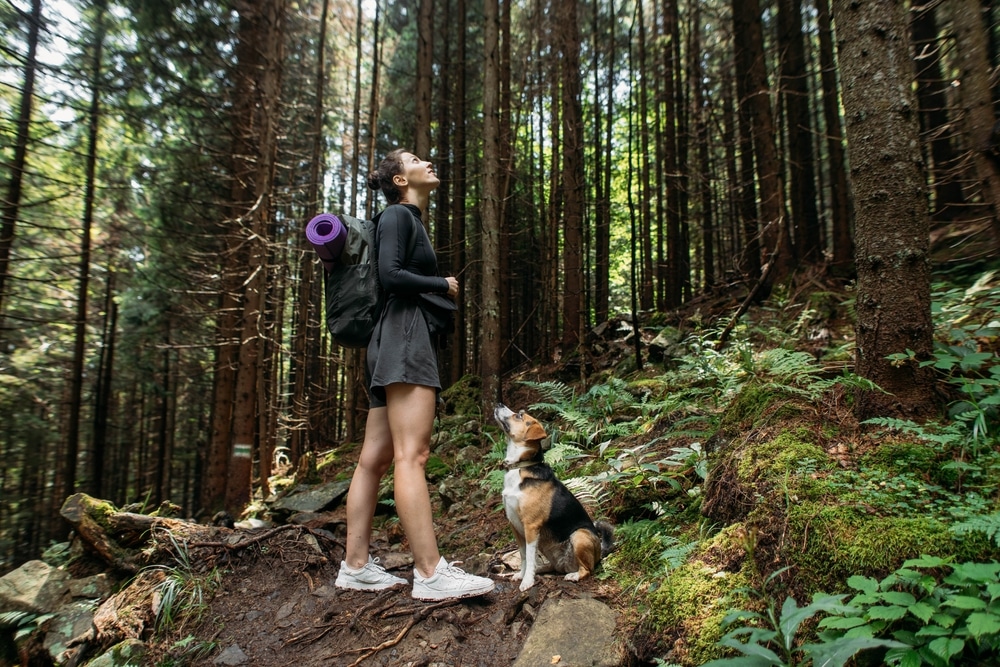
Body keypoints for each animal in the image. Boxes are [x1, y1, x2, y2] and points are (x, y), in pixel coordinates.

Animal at [490, 404, 608, 592]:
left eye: (519, 416)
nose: (499, 404)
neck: (521, 466)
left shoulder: (531, 526)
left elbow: (530, 556)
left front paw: (527, 581)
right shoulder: (514, 525)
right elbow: (523, 556)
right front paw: (522, 575)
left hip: (579, 535)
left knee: (587, 569)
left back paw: (574, 575)